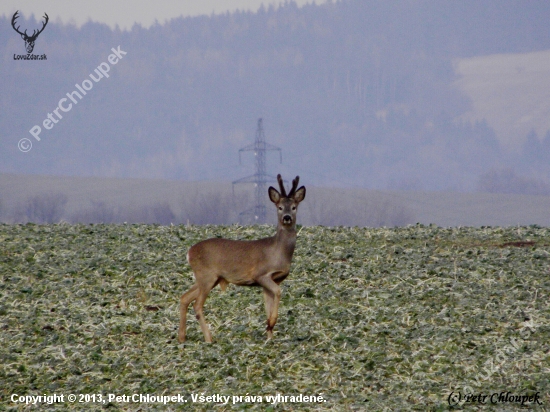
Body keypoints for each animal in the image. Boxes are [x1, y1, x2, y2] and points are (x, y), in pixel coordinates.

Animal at [181, 173, 308, 342]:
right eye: (280, 207)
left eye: (294, 207)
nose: (287, 217)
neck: (278, 252)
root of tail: (189, 252)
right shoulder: (261, 274)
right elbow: (278, 292)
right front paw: (271, 324)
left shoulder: (272, 280)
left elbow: (268, 306)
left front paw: (269, 335)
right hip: (206, 275)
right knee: (197, 304)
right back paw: (209, 339)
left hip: (209, 279)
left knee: (184, 297)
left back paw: (181, 337)